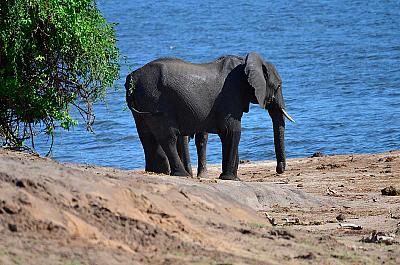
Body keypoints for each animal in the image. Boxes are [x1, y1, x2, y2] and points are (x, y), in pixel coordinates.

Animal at [126, 51, 296, 179]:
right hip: (156, 100)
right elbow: (233, 130)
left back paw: (156, 172)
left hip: (143, 100)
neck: (246, 62)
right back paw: (181, 175)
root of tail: (133, 76)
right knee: (168, 137)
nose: (279, 169)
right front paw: (230, 178)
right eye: (278, 86)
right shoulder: (230, 95)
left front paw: (233, 178)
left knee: (146, 135)